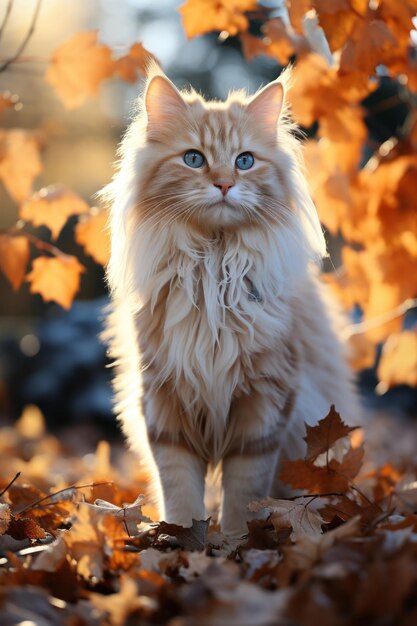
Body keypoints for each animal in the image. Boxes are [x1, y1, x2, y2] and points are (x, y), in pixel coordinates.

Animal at [102, 62, 356, 532]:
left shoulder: (265, 404)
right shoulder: (165, 403)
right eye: (193, 159)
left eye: (245, 161)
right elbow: (180, 490)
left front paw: (239, 539)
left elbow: (244, 494)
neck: (213, 270)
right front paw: (179, 538)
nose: (223, 184)